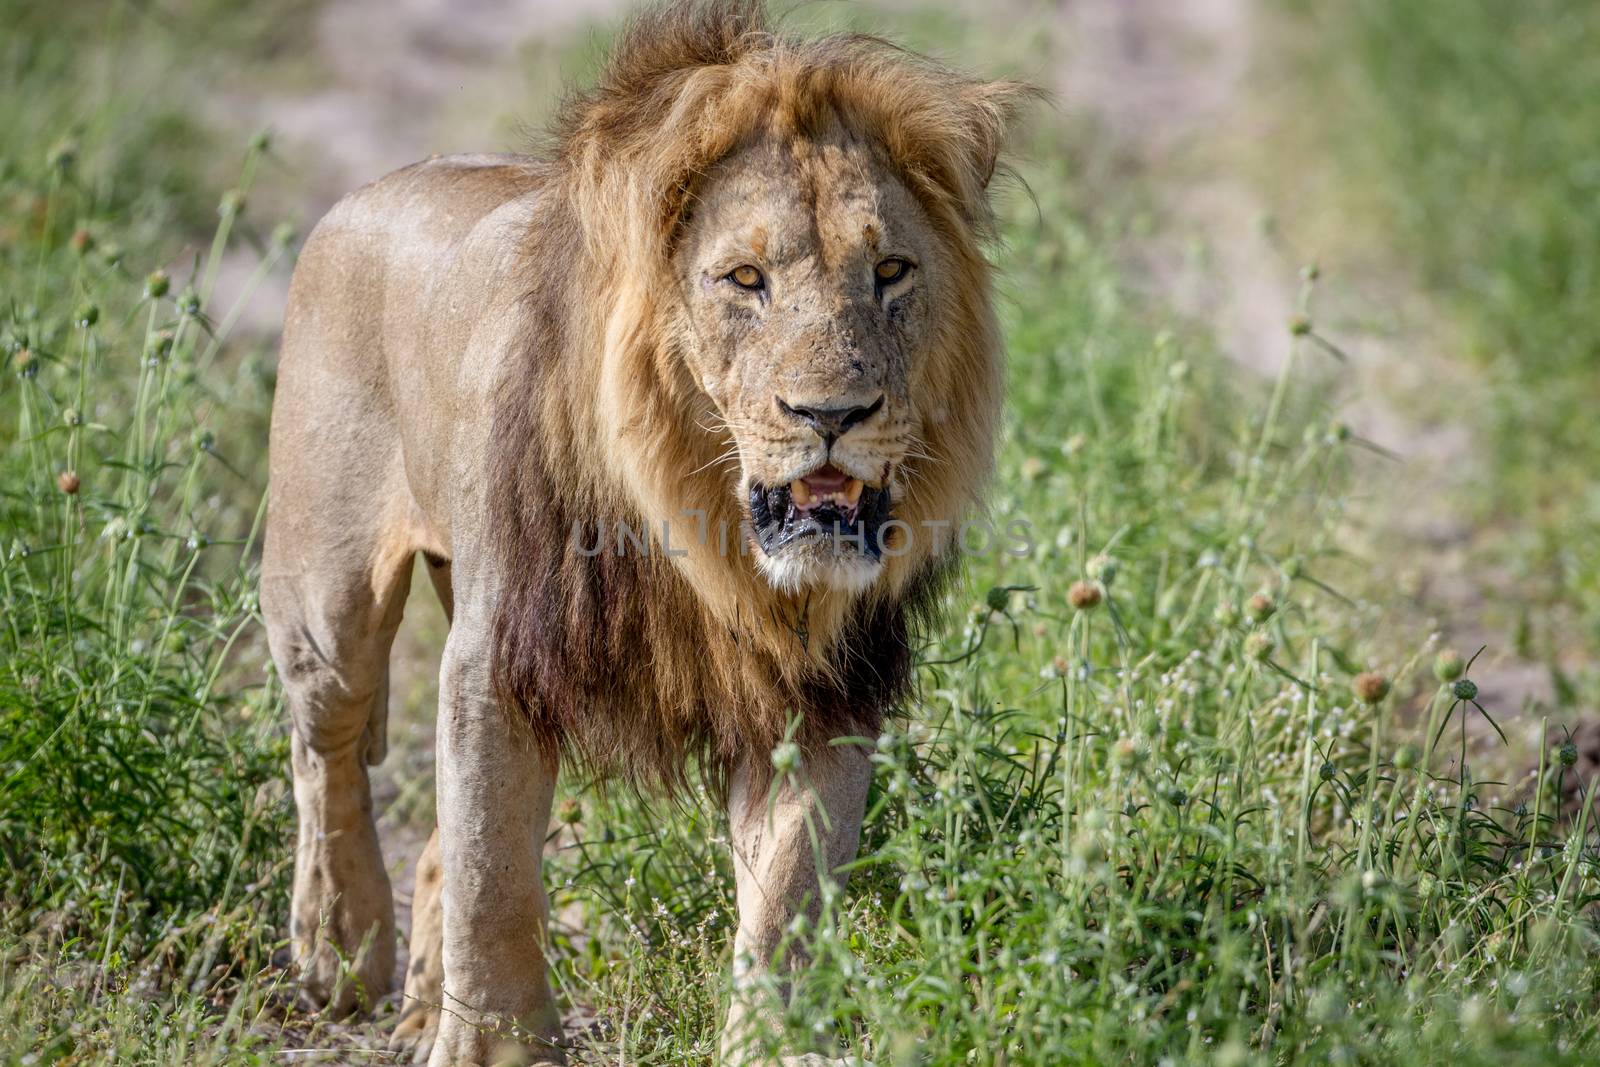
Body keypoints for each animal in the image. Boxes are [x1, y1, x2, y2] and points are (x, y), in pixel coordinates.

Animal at [256, 4, 1017, 1062]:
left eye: (892, 271)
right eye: (745, 279)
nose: (833, 413)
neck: (702, 536)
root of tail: (370, 190)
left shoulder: (819, 692)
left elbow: (790, 890)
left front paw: (768, 1042)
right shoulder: (496, 653)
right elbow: (496, 870)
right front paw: (494, 1046)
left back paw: (411, 999)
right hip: (325, 597)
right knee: (324, 749)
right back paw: (341, 953)